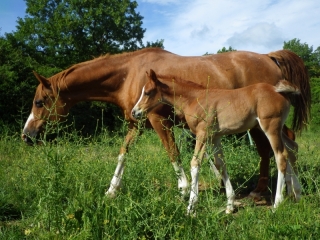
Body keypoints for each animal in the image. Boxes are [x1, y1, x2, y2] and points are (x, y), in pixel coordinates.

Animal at [21, 47, 310, 200]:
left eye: (39, 102)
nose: (26, 135)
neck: (129, 74)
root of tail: (269, 56)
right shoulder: (136, 124)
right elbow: (123, 154)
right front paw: (111, 190)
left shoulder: (159, 121)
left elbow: (173, 153)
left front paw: (184, 189)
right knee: (287, 144)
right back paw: (292, 190)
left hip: (259, 124)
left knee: (270, 150)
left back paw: (263, 192)